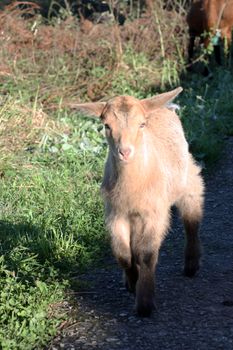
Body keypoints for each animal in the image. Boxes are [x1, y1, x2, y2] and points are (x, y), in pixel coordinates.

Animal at [73, 87, 205, 318]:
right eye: (106, 125)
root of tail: (163, 106)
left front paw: (144, 303)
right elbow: (123, 254)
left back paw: (191, 264)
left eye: (142, 124)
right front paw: (133, 281)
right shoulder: (115, 213)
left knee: (191, 219)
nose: (125, 152)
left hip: (188, 179)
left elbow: (146, 255)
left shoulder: (154, 214)